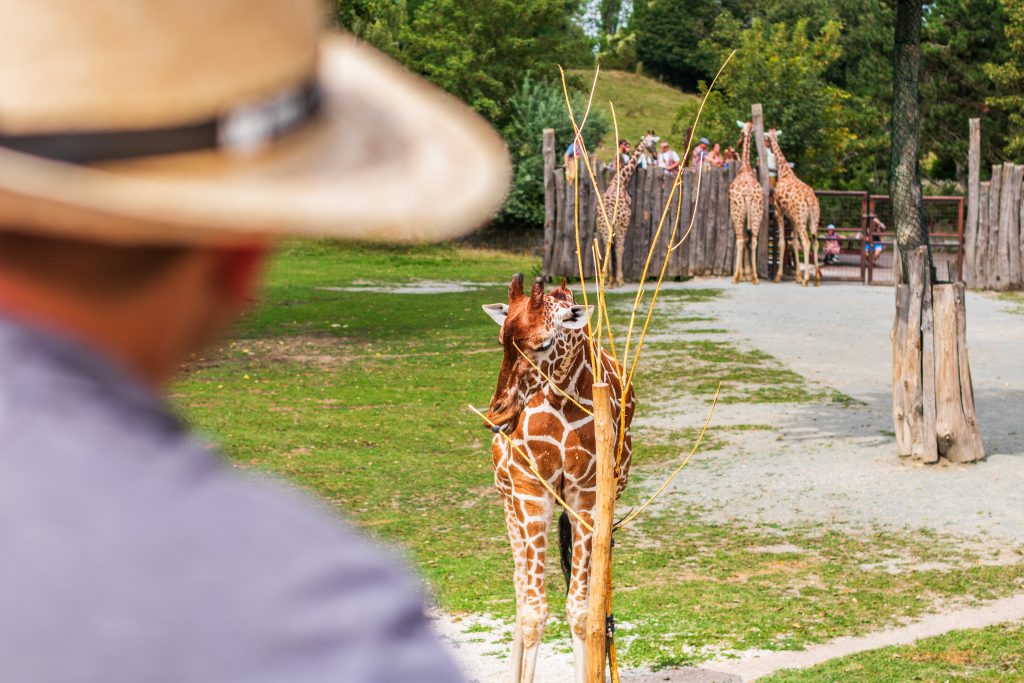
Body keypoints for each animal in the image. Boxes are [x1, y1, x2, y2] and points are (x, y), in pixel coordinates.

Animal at [483, 274, 634, 683]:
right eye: (501, 338)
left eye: (544, 343)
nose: (497, 413)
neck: (564, 399)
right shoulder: (531, 494)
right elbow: (534, 611)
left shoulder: (587, 498)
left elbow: (582, 611)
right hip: (509, 502)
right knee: (521, 589)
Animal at [598, 132, 655, 286]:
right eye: (653, 143)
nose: (655, 156)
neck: (620, 181)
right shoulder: (625, 222)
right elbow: (620, 248)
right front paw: (618, 278)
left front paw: (609, 277)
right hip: (620, 226)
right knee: (619, 248)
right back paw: (619, 279)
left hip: (603, 228)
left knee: (606, 247)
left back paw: (608, 279)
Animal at [765, 127, 819, 286]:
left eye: (768, 138)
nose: (768, 145)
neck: (785, 172)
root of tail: (810, 201)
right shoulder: (792, 217)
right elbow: (793, 243)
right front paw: (797, 277)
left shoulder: (779, 211)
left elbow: (782, 242)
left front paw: (778, 276)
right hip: (813, 219)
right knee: (815, 242)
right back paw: (816, 279)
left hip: (802, 219)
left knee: (806, 242)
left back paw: (807, 279)